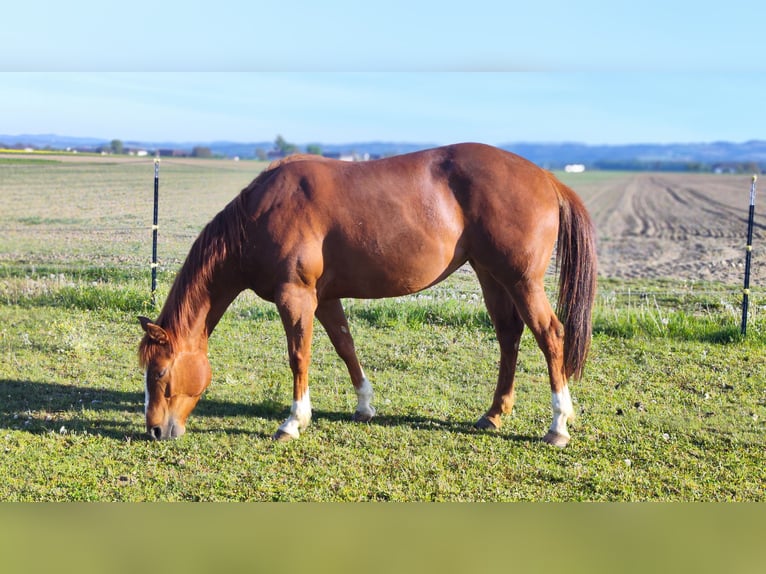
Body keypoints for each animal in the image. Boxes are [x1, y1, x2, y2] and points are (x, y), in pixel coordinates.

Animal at [138, 143, 597, 447]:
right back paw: (494, 414)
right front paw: (364, 405)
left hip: (521, 281)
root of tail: (546, 178)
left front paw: (293, 421)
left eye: (159, 373)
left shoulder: (295, 297)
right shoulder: (323, 298)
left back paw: (558, 425)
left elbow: (298, 356)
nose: (155, 430)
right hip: (491, 276)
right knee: (509, 336)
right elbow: (346, 346)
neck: (260, 217)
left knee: (550, 336)